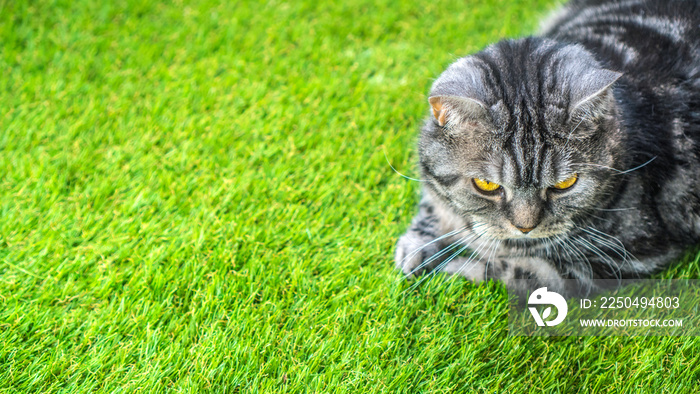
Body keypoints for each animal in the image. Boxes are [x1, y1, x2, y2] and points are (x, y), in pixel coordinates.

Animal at [394, 0, 700, 296]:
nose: (525, 227)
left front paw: (448, 268)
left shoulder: (622, 256)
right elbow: (433, 202)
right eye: (486, 185)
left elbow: (515, 270)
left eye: (565, 184)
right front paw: (416, 248)